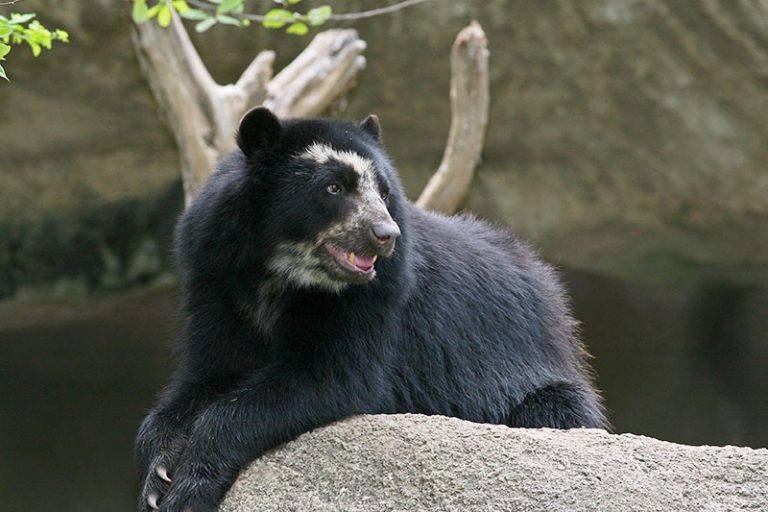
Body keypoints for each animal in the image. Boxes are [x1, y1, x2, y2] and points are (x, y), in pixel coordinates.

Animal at [135, 107, 607, 512]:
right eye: (333, 187)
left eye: (383, 191)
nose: (386, 234)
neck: (279, 272)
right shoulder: (215, 279)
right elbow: (203, 378)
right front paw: (158, 476)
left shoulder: (376, 300)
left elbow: (330, 378)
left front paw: (188, 489)